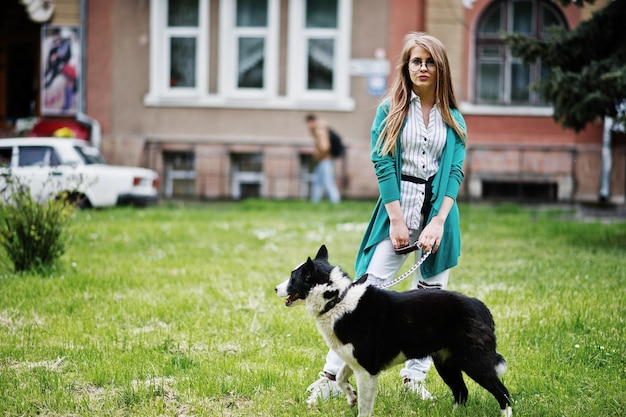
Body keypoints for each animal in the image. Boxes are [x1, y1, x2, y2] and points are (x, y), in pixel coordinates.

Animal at [276, 245, 510, 416]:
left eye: (293, 277)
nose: (275, 288)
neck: (338, 299)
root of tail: (481, 307)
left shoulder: (367, 370)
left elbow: (364, 407)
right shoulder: (354, 360)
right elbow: (341, 378)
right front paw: (351, 396)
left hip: (474, 362)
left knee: (503, 394)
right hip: (446, 363)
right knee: (462, 392)